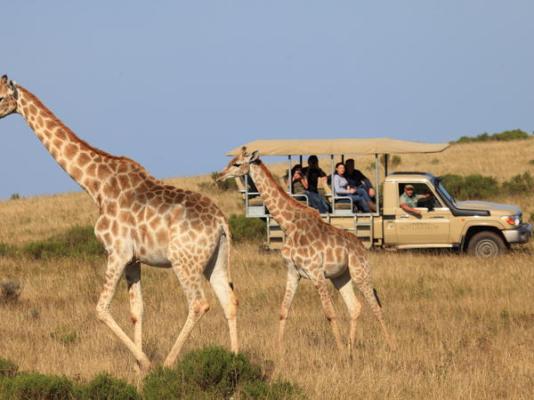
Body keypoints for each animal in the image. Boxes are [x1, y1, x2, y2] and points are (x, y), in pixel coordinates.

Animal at [0, 76, 239, 374]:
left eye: (0, 97)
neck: (95, 184)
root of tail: (221, 222)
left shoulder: (117, 252)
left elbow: (101, 309)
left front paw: (145, 363)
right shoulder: (133, 259)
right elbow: (137, 311)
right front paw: (138, 370)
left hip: (184, 260)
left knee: (198, 303)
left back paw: (169, 363)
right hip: (216, 259)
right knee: (229, 301)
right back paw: (236, 361)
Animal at [219, 148, 398, 354]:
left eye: (237, 164)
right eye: (231, 161)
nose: (220, 176)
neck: (288, 225)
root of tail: (362, 247)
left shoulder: (315, 272)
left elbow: (330, 313)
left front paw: (339, 351)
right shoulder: (293, 272)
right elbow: (283, 310)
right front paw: (279, 350)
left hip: (360, 272)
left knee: (376, 307)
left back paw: (391, 346)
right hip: (341, 276)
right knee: (355, 307)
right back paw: (351, 348)